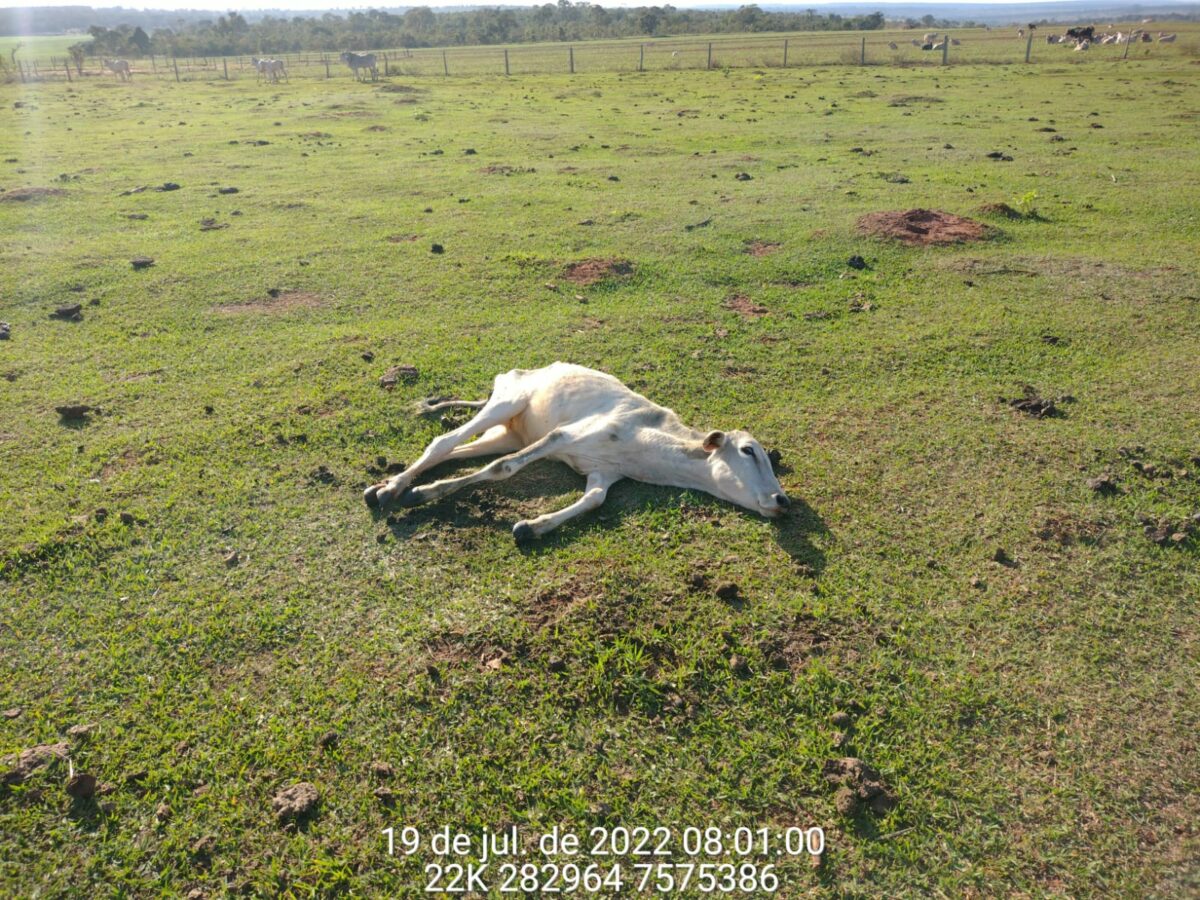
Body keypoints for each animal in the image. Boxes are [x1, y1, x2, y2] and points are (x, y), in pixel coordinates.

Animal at [360, 364, 792, 542]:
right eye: (749, 451)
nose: (782, 500)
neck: (645, 445)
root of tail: (522, 371)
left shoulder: (603, 472)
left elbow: (594, 500)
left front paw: (531, 527)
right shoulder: (564, 436)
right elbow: (503, 469)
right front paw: (420, 495)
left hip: (507, 433)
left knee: (454, 451)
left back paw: (385, 486)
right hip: (505, 403)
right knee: (444, 442)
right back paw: (394, 490)